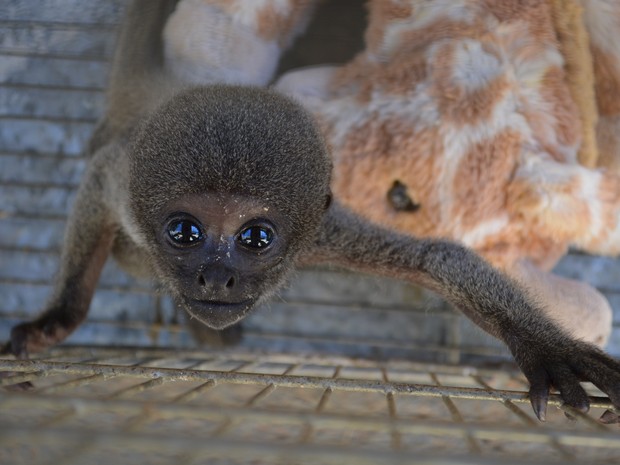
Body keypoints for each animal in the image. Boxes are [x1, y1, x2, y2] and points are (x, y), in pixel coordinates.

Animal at [4, 0, 620, 420]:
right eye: (183, 231)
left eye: (256, 238)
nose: (216, 276)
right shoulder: (122, 186)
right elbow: (97, 178)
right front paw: (58, 317)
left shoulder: (318, 229)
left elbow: (434, 258)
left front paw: (544, 344)